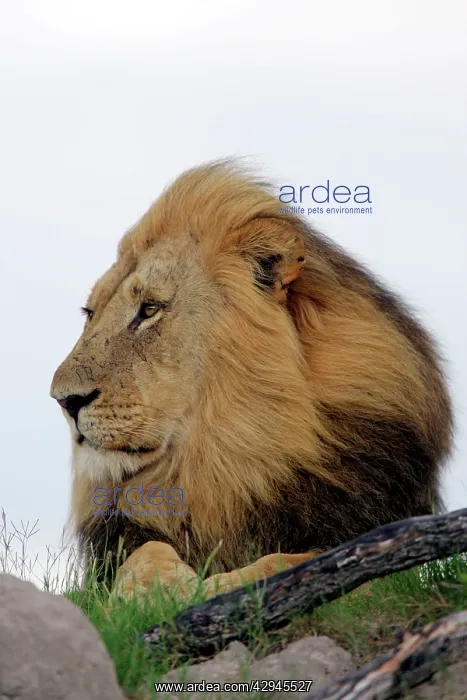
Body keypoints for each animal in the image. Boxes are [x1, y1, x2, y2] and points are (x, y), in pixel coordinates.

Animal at [50, 159, 453, 601]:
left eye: (150, 309)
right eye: (90, 312)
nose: (64, 400)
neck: (230, 467)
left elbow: (293, 560)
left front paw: (215, 588)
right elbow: (146, 552)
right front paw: (154, 590)